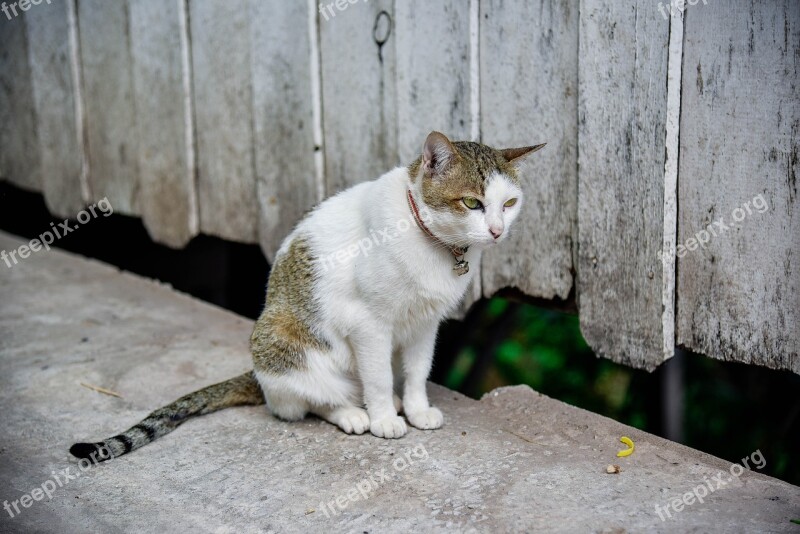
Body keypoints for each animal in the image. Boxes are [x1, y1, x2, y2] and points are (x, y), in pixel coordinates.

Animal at [70, 132, 544, 462]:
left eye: (509, 204)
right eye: (472, 203)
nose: (497, 231)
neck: (436, 247)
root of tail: (258, 378)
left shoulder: (425, 324)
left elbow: (416, 372)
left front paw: (414, 407)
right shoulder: (369, 323)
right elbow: (375, 376)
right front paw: (385, 420)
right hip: (279, 341)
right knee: (307, 401)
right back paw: (356, 413)